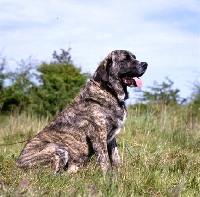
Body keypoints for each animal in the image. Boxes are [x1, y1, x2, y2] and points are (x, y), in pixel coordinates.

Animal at [16, 50, 148, 173]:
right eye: (125, 59)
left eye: (134, 57)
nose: (145, 64)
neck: (109, 92)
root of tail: (17, 165)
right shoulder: (98, 134)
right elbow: (104, 159)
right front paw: (108, 177)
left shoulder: (111, 138)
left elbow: (116, 157)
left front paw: (119, 172)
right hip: (60, 149)